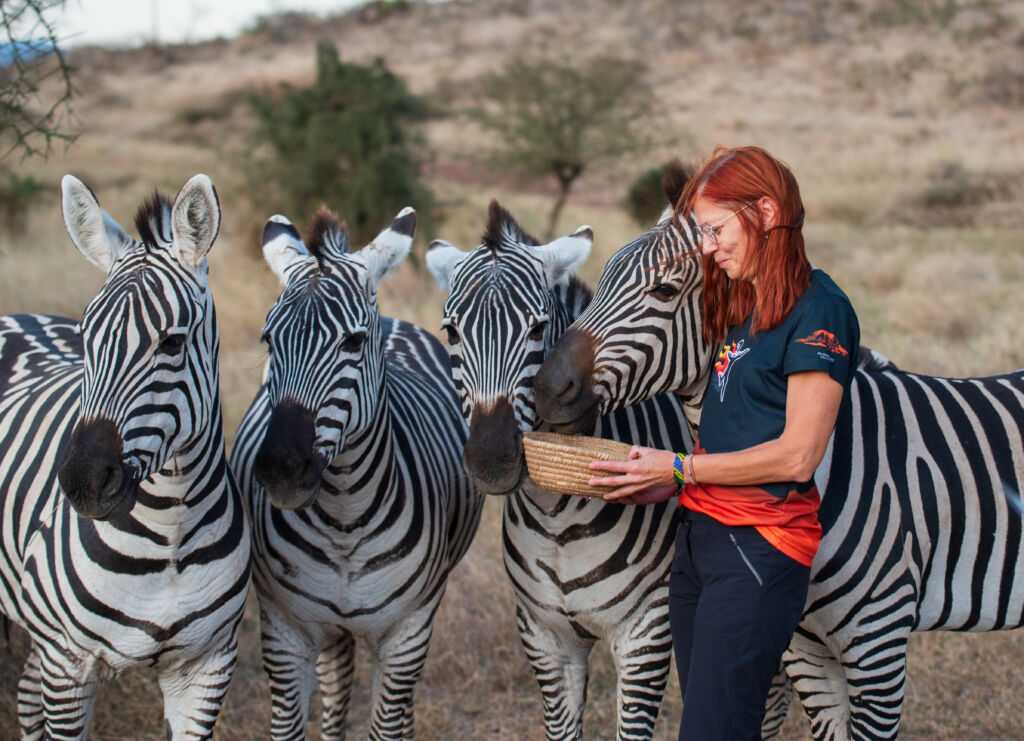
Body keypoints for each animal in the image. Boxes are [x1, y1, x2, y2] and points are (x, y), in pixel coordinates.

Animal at [0, 175, 250, 741]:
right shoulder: (68, 664)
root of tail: (18, 316)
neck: (170, 533)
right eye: (87, 338)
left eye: (172, 343)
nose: (84, 482)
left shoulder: (207, 668)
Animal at [230, 203, 481, 741]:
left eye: (353, 341)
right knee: (338, 683)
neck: (344, 515)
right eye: (268, 339)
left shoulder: (407, 633)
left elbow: (386, 724)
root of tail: (392, 318)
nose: (282, 470)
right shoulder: (285, 629)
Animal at [423, 199, 696, 736]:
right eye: (451, 332)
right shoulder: (545, 637)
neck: (558, 515)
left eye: (537, 328)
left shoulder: (647, 630)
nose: (491, 458)